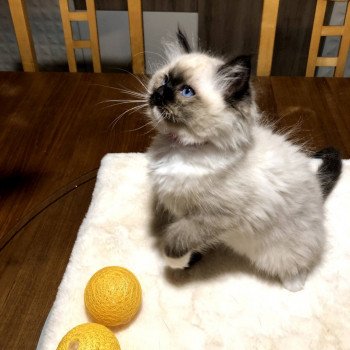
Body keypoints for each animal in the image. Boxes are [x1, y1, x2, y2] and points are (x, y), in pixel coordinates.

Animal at [146, 30, 342, 292]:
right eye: (164, 81)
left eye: (186, 91)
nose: (159, 94)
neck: (180, 148)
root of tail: (319, 194)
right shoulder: (183, 212)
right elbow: (185, 237)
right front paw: (189, 260)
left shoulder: (214, 217)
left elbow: (176, 239)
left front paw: (175, 264)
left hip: (279, 253)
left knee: (297, 266)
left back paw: (294, 285)